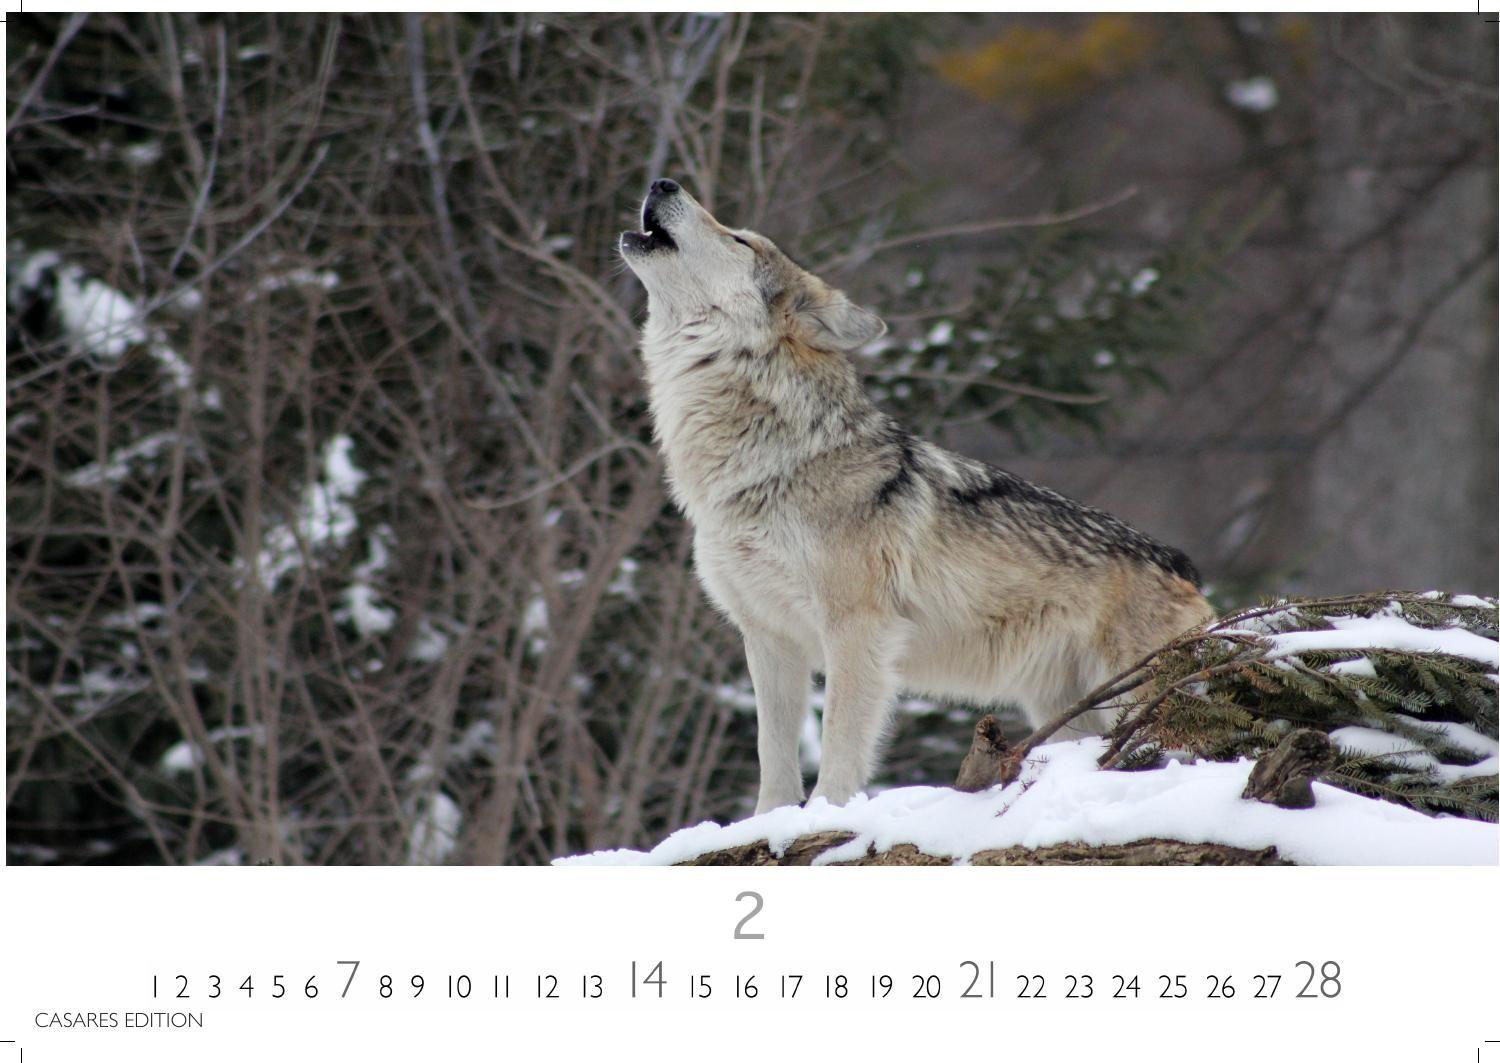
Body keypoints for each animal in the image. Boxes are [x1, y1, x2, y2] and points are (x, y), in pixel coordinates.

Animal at [620, 178, 1213, 813]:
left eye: (739, 239)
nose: (662, 182)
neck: (766, 463)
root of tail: (1185, 568)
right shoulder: (768, 638)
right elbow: (773, 758)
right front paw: (768, 823)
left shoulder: (857, 631)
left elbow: (839, 746)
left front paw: (827, 815)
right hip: (1066, 712)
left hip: (1133, 700)